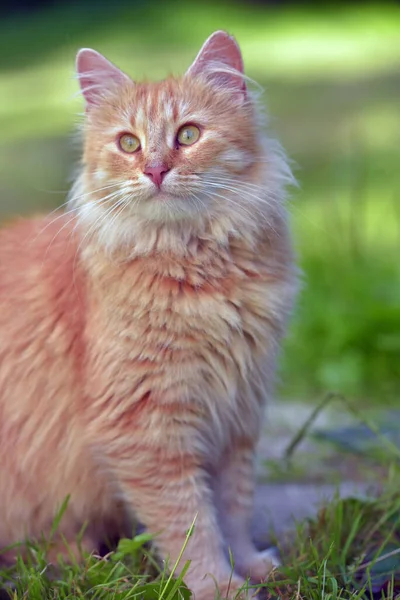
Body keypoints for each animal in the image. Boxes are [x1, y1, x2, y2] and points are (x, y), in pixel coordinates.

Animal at [0, 32, 296, 600]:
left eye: (188, 134)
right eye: (129, 144)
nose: (155, 170)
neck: (195, 270)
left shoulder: (237, 415)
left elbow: (233, 507)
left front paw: (250, 564)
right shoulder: (146, 426)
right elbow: (190, 523)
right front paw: (217, 585)